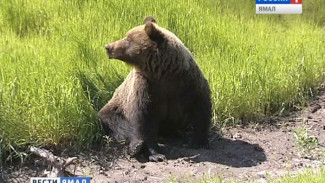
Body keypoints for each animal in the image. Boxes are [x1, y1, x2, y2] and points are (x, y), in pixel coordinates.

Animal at [97, 16, 211, 162]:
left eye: (127, 39)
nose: (108, 47)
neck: (163, 73)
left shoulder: (187, 83)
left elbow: (200, 108)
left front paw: (199, 141)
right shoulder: (147, 87)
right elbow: (145, 119)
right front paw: (155, 153)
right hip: (116, 107)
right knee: (118, 124)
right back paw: (136, 146)